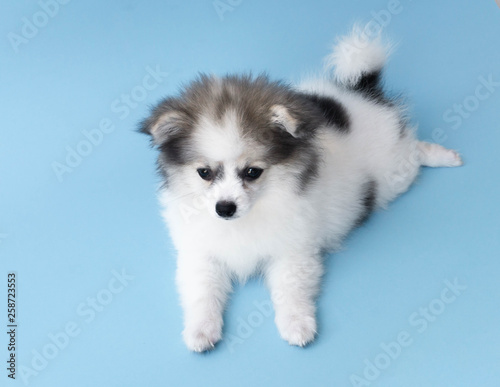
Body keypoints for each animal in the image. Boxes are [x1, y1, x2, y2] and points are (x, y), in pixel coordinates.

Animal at [139, 28, 462, 354]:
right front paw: (200, 330)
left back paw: (444, 156)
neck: (250, 216)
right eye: (204, 173)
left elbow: (290, 290)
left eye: (252, 172)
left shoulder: (293, 251)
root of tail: (361, 92)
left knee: (415, 150)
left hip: (395, 171)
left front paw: (296, 324)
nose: (225, 208)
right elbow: (202, 293)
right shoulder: (201, 254)